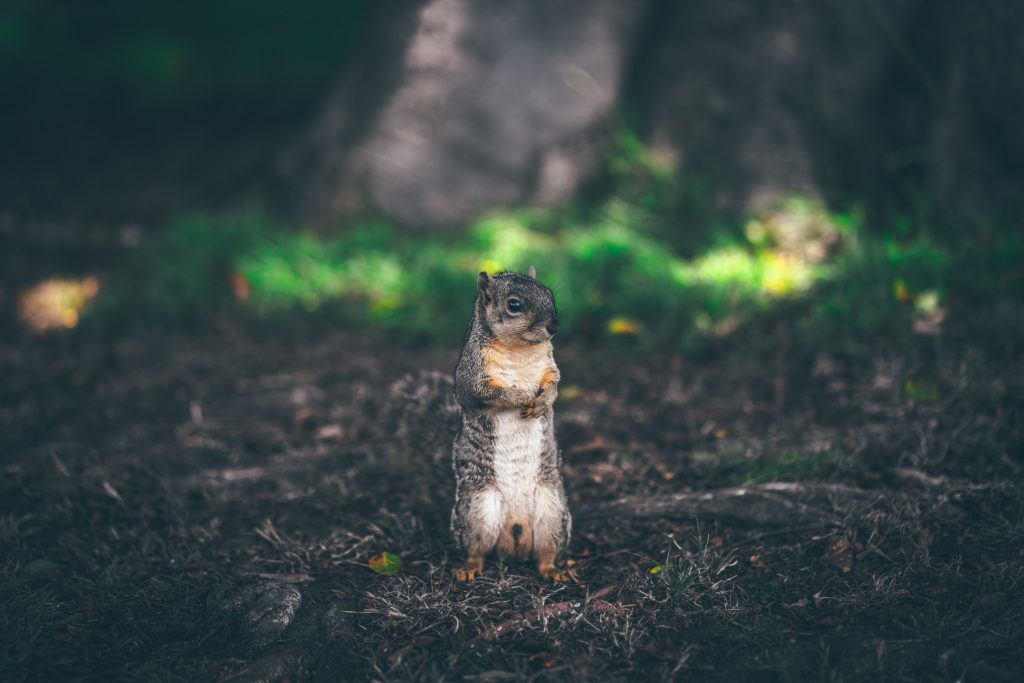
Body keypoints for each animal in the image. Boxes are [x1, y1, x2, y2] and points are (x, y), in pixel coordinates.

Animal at [449, 267, 571, 582]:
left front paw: (543, 401)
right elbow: (494, 393)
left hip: (552, 511)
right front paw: (521, 396)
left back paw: (553, 570)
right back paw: (470, 567)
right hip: (478, 510)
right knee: (477, 549)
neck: (520, 348)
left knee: (545, 553)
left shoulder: (550, 366)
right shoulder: (472, 377)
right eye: (514, 304)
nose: (554, 326)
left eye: (549, 293)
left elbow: (554, 383)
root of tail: (515, 536)